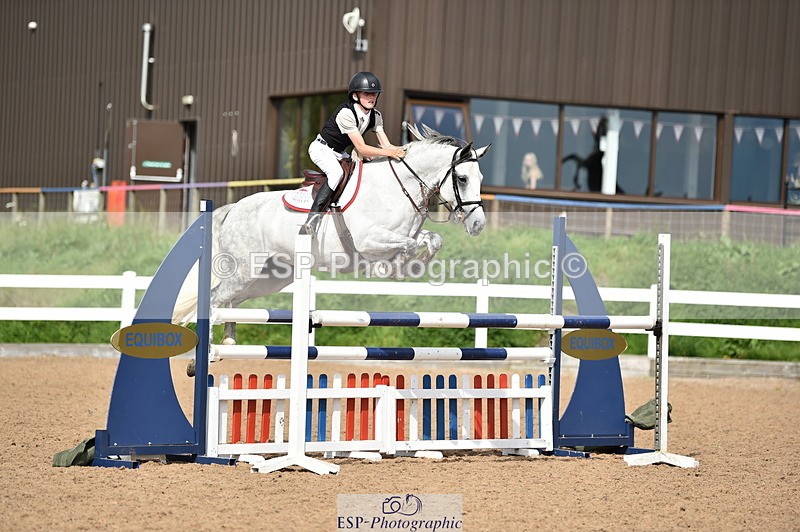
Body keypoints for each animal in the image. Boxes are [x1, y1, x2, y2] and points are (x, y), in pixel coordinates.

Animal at [173, 125, 491, 364]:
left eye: (480, 178)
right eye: (463, 178)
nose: (478, 225)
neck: (399, 188)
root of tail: (233, 209)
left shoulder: (410, 233)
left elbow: (431, 239)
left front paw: (411, 267)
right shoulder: (369, 239)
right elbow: (406, 247)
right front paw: (392, 269)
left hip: (269, 277)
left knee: (232, 301)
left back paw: (229, 341)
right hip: (244, 270)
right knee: (215, 298)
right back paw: (206, 355)